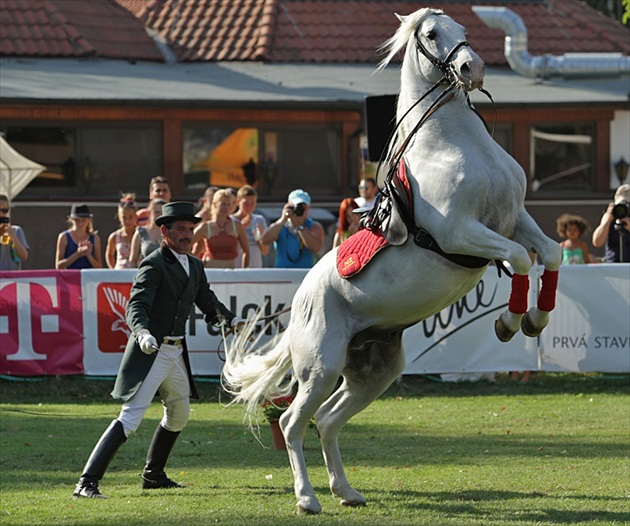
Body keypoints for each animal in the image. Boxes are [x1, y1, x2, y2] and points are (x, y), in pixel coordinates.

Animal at [223, 8, 564, 516]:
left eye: (465, 31)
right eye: (432, 34)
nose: (473, 68)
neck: (455, 145)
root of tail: (300, 302)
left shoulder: (514, 219)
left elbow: (550, 252)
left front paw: (536, 318)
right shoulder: (463, 233)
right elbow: (522, 259)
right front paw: (509, 322)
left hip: (373, 371)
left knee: (327, 421)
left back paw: (346, 492)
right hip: (319, 369)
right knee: (290, 423)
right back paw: (307, 498)